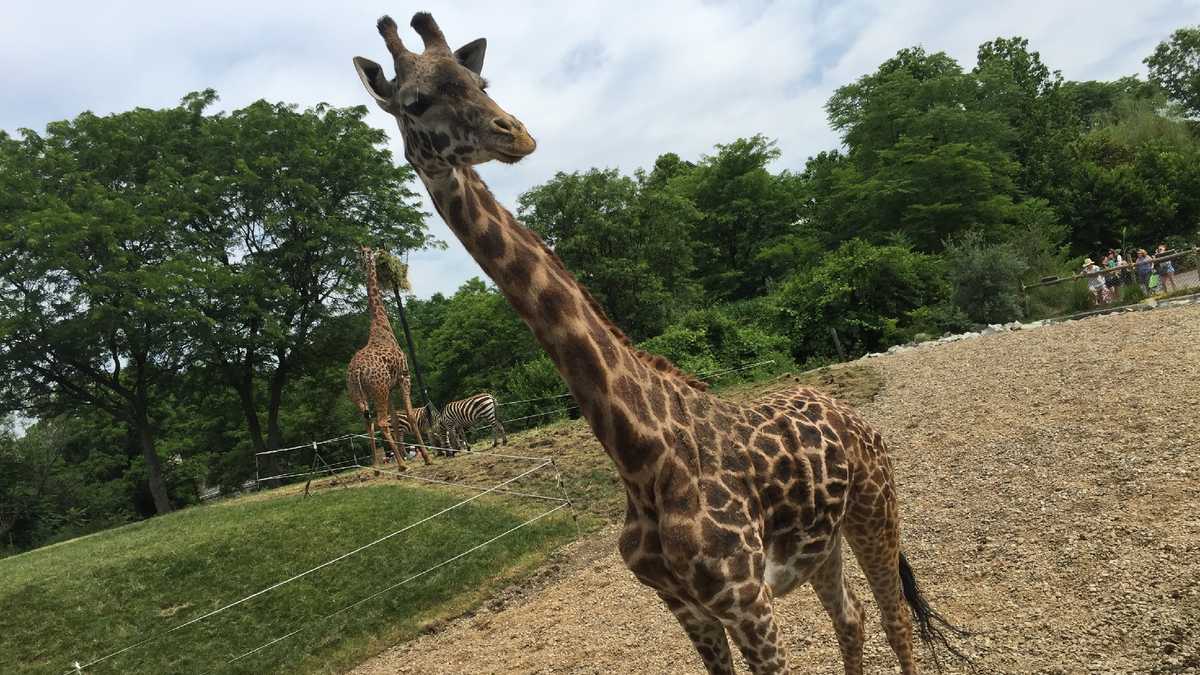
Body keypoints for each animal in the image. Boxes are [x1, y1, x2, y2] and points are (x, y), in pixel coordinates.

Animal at [348, 243, 432, 470]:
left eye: (362, 254)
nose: (361, 265)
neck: (381, 327)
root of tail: (356, 372)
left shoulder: (391, 387)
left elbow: (395, 420)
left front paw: (409, 455)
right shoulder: (404, 377)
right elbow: (410, 414)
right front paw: (427, 457)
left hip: (361, 395)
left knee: (368, 422)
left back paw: (377, 468)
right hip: (378, 391)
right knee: (380, 422)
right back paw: (402, 465)